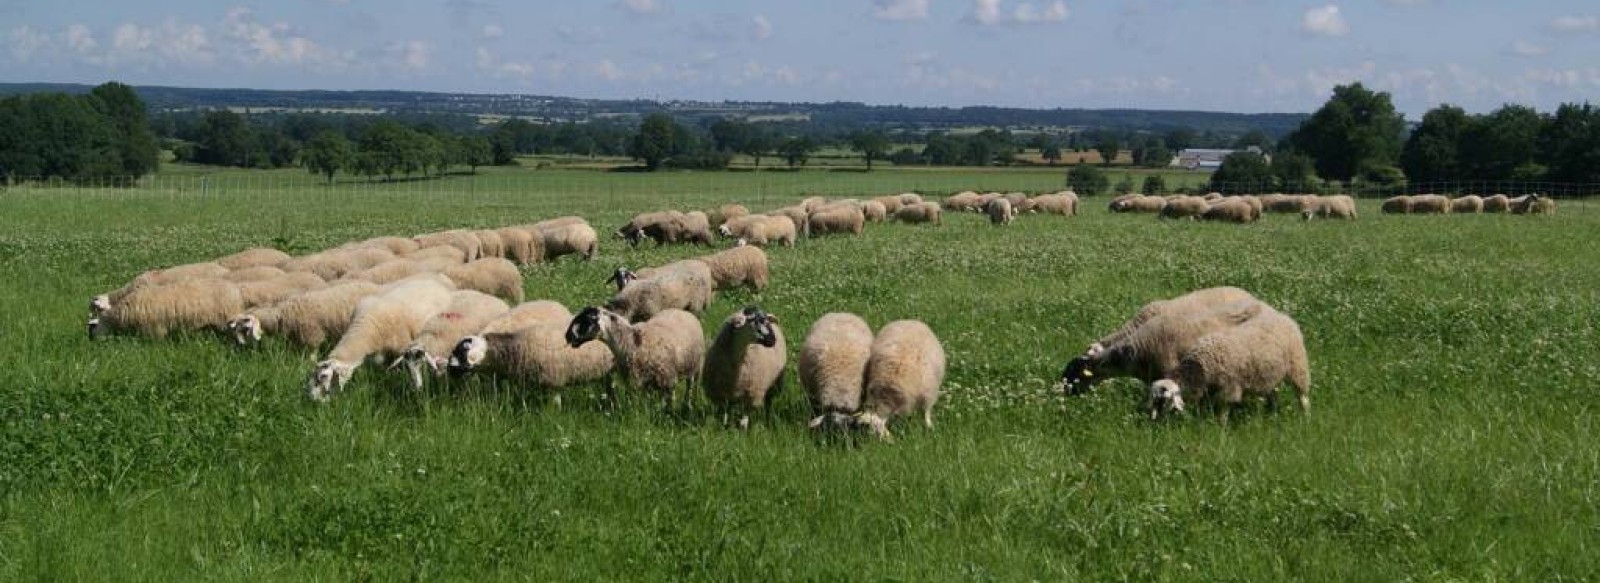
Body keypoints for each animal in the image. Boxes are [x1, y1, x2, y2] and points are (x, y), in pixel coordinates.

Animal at [569, 305, 707, 410]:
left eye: (587, 321)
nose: (568, 336)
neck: (630, 343)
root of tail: (681, 311)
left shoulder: (665, 379)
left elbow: (665, 402)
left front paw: (665, 414)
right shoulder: (635, 381)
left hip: (695, 367)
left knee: (690, 387)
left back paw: (687, 405)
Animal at [1152, 305, 1312, 422]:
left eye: (1162, 399)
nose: (1155, 421)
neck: (1199, 366)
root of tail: (1282, 316)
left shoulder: (1230, 384)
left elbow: (1225, 406)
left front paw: (1221, 425)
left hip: (1297, 364)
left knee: (1301, 393)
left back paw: (1305, 415)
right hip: (1267, 371)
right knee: (1272, 393)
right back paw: (1273, 413)